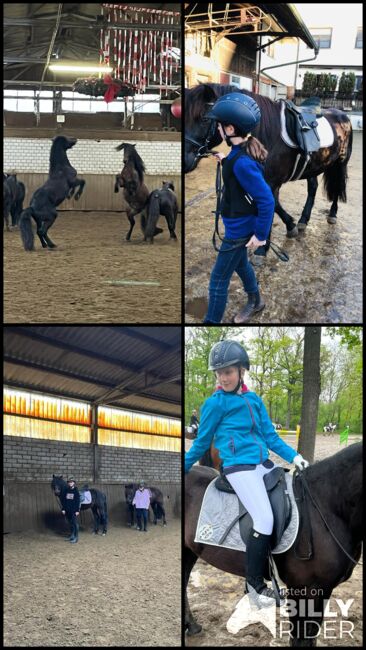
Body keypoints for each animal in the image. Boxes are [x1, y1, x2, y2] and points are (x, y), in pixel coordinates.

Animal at [184, 83, 354, 258]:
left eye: (204, 119)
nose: (184, 161)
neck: (269, 134)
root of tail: (343, 116)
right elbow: (274, 205)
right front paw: (291, 226)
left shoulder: (272, 182)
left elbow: (271, 206)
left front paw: (261, 249)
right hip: (311, 167)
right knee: (313, 187)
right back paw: (303, 221)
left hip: (341, 163)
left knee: (338, 186)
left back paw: (332, 214)